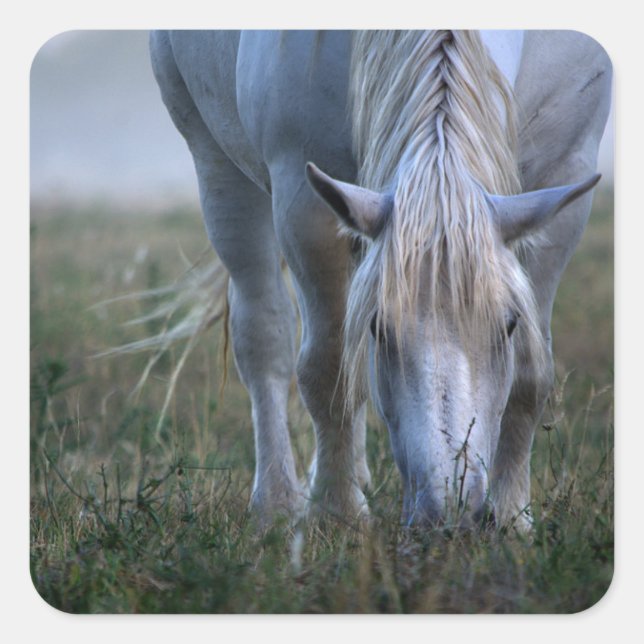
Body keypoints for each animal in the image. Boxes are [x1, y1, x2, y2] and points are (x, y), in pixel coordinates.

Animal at [149, 30, 611, 529]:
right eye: (379, 328)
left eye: (508, 325)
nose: (448, 513)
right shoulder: (302, 197)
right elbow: (328, 366)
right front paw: (337, 513)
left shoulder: (566, 174)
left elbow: (531, 373)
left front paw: (512, 518)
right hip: (218, 166)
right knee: (264, 335)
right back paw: (278, 503)